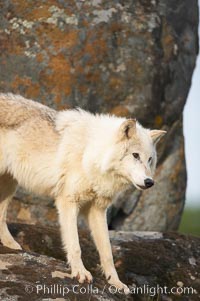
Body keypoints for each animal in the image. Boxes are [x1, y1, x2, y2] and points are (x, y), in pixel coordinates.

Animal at [0, 92, 166, 292]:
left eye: (149, 160)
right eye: (135, 155)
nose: (149, 182)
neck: (91, 154)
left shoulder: (97, 210)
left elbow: (107, 252)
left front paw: (115, 282)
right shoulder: (68, 202)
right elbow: (75, 245)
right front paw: (80, 273)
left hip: (10, 184)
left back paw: (12, 245)